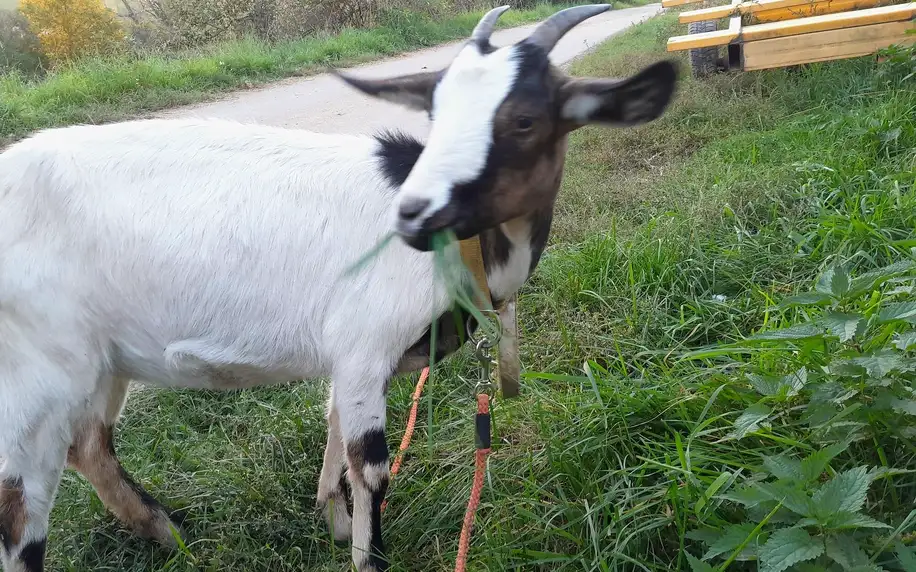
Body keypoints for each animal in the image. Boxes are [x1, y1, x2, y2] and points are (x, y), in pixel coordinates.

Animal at [0, 5, 676, 572]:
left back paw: (172, 535)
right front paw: (366, 553)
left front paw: (334, 521)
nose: (413, 215)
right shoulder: (364, 344)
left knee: (89, 446)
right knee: (22, 504)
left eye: (525, 120)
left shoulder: (351, 360)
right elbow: (370, 467)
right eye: (436, 115)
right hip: (36, 367)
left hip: (100, 358)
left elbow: (332, 432)